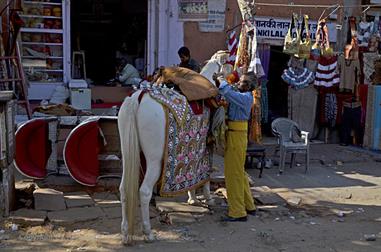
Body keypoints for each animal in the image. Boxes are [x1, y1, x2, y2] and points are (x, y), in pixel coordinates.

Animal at [117, 51, 229, 244]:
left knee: (124, 188)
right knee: (144, 191)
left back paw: (125, 234)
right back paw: (148, 233)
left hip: (127, 152)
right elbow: (205, 173)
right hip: (154, 160)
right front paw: (206, 198)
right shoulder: (207, 147)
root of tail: (138, 98)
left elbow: (196, 173)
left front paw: (192, 197)